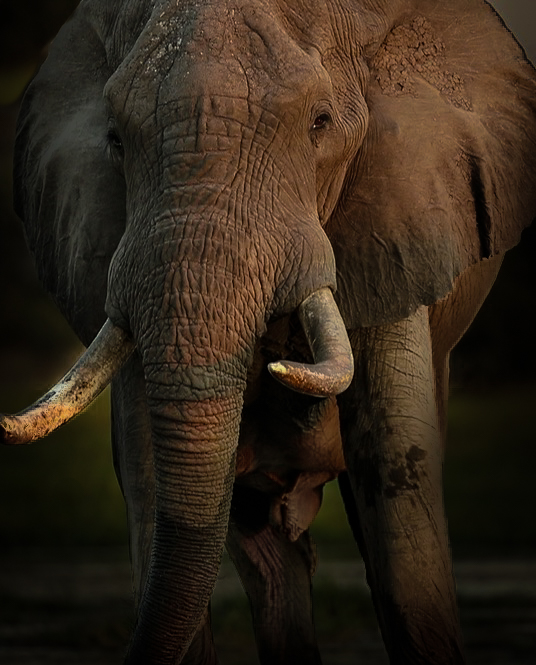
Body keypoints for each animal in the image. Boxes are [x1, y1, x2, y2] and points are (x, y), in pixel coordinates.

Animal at [2, 0, 536, 663]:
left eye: (320, 123)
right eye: (115, 140)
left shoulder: (405, 213)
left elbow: (397, 503)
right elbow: (147, 479)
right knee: (269, 560)